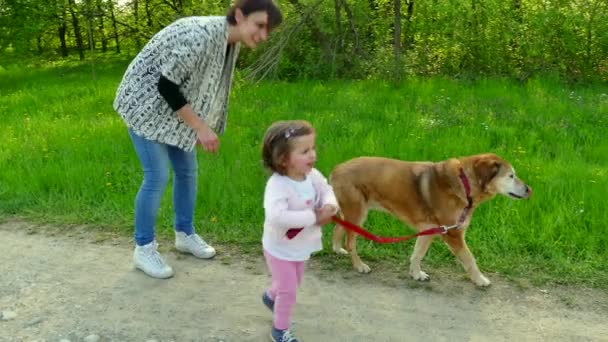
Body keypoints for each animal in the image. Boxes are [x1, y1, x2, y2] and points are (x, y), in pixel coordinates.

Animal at [330, 153, 528, 286]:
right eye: (511, 176)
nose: (529, 189)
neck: (465, 183)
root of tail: (336, 169)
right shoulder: (453, 235)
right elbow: (469, 259)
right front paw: (480, 279)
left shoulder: (429, 230)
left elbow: (417, 254)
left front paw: (416, 274)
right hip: (357, 214)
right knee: (350, 242)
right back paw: (359, 265)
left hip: (351, 213)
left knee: (338, 228)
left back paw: (337, 249)